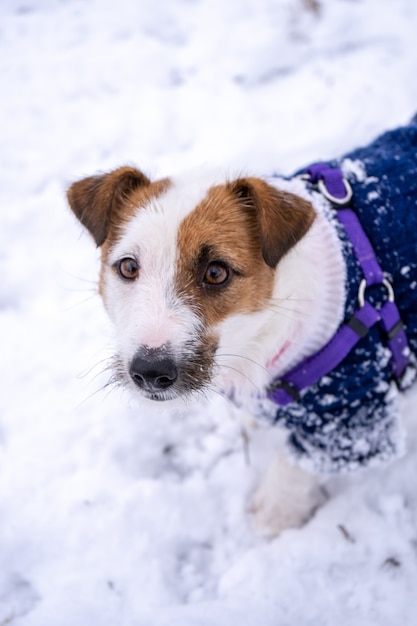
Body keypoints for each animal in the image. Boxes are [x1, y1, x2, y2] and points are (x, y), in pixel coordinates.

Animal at [66, 119, 416, 532]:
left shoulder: (351, 415)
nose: (150, 371)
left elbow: (291, 469)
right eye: (128, 267)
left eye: (216, 272)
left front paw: (272, 519)